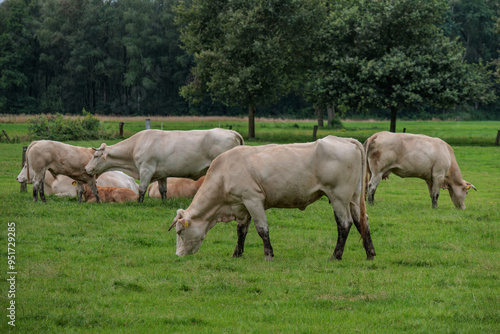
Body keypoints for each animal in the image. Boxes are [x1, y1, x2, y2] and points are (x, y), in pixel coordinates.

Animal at [85, 129, 244, 202]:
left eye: (96, 155)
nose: (86, 168)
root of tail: (231, 131)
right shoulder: (162, 173)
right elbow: (163, 190)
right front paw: (164, 202)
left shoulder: (146, 169)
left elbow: (142, 189)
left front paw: (139, 203)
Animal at [168, 135, 376, 260]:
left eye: (180, 232)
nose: (178, 255)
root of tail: (345, 140)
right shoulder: (242, 205)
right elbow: (241, 231)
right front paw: (237, 254)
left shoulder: (253, 199)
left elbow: (262, 229)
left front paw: (268, 254)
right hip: (353, 197)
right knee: (362, 220)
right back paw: (370, 253)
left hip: (339, 196)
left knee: (345, 224)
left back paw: (336, 255)